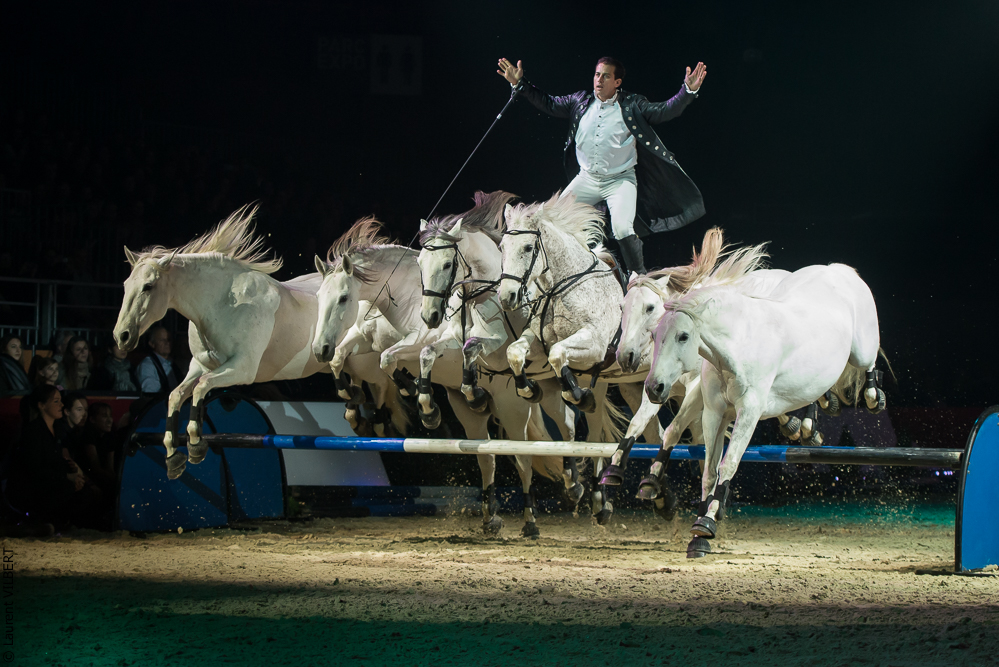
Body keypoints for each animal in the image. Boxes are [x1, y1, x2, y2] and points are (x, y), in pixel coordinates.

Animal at [645, 261, 887, 558]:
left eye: (683, 336)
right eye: (654, 335)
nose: (654, 387)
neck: (738, 345)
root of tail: (839, 270)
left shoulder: (749, 412)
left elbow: (729, 463)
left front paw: (707, 524)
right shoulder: (714, 413)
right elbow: (709, 471)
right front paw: (698, 537)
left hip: (862, 350)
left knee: (870, 364)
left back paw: (874, 397)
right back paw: (819, 414)